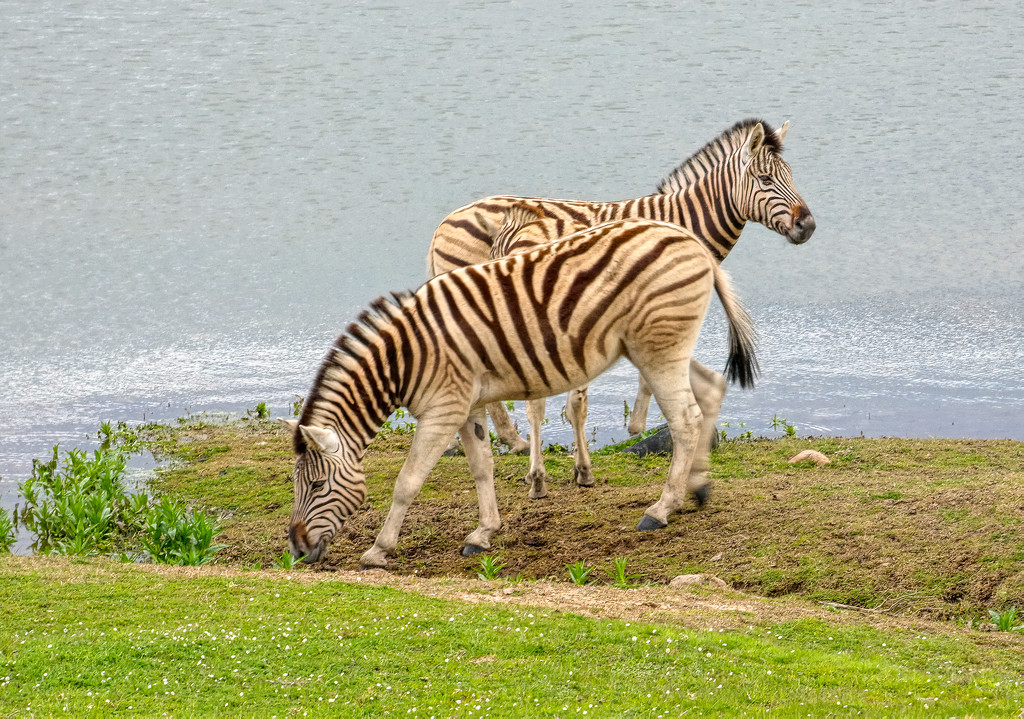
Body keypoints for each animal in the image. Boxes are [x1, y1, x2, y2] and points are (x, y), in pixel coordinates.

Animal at [288, 219, 761, 569]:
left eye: (315, 485)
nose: (295, 549)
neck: (404, 358)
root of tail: (689, 238)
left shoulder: (443, 409)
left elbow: (408, 481)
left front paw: (378, 551)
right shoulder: (468, 406)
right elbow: (481, 467)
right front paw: (483, 534)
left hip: (658, 349)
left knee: (685, 420)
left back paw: (660, 510)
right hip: (659, 348)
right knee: (710, 389)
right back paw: (698, 488)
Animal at [423, 118, 815, 503]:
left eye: (792, 176)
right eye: (766, 180)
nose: (807, 226)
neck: (683, 222)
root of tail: (446, 220)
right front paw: (637, 424)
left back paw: (513, 443)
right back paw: (517, 445)